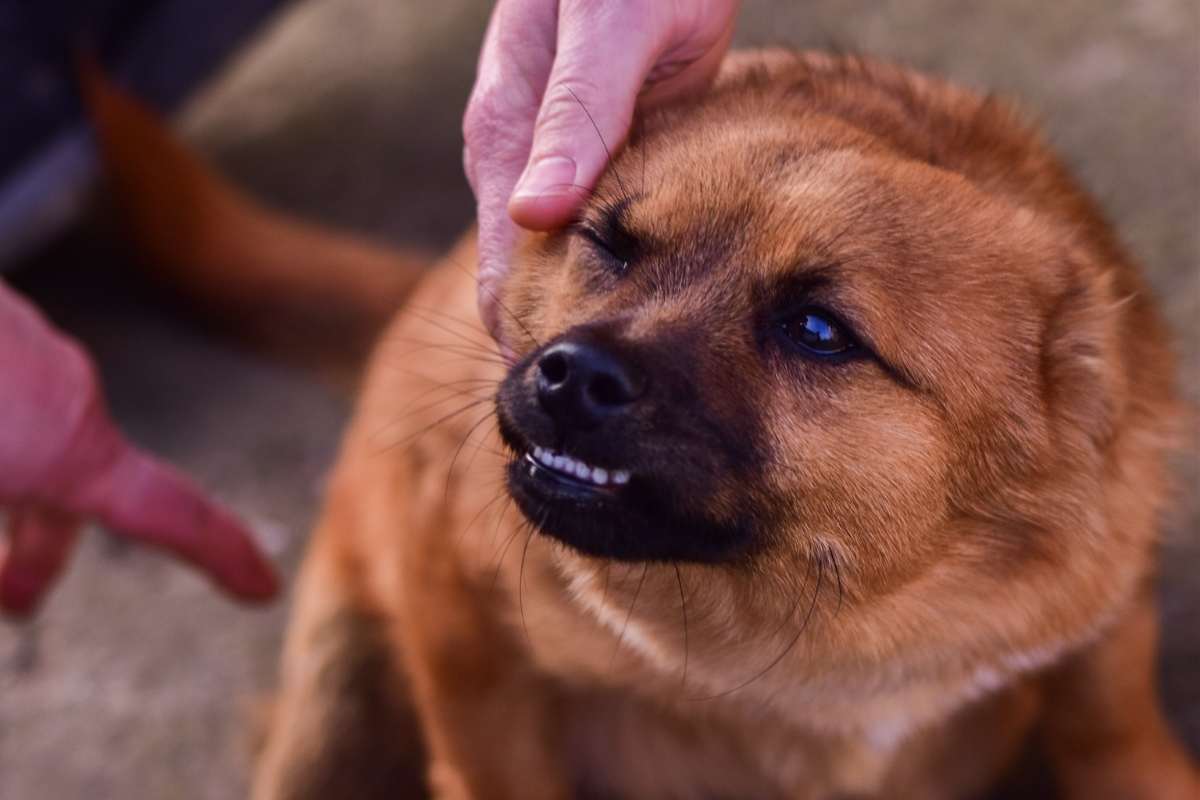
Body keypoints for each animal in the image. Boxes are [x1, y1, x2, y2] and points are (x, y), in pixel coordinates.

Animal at [87, 51, 1200, 800]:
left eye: (817, 328)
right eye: (610, 243)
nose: (569, 374)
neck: (820, 639)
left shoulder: (1095, 633)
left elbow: (1112, 732)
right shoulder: (459, 621)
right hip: (333, 696)